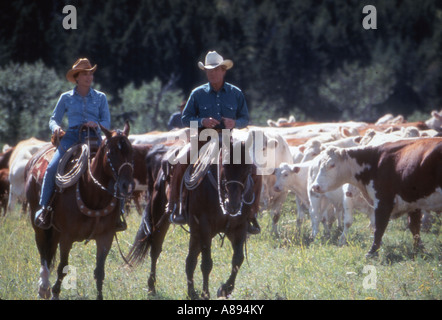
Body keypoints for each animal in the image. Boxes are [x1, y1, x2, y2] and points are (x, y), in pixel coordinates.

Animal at [25, 122, 133, 300]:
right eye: (111, 152)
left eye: (131, 150)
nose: (126, 185)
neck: (94, 194)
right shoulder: (67, 237)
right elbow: (62, 268)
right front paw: (55, 293)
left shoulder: (106, 237)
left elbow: (99, 272)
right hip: (39, 225)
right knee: (43, 252)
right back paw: (44, 287)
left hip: (55, 230)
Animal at [128, 139, 260, 300]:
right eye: (224, 165)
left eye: (248, 169)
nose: (233, 205)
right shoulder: (204, 227)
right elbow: (207, 264)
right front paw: (206, 294)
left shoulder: (239, 228)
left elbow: (238, 259)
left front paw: (225, 289)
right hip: (161, 218)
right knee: (156, 249)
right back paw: (152, 287)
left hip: (196, 232)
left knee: (190, 259)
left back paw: (191, 292)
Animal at [310, 138, 442, 258]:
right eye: (319, 165)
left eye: (332, 165)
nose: (315, 186)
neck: (375, 162)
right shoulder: (413, 202)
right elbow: (414, 227)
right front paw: (419, 249)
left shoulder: (383, 201)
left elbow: (379, 227)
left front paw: (372, 252)